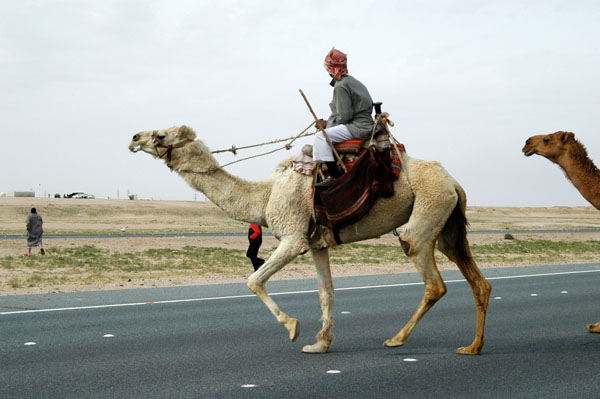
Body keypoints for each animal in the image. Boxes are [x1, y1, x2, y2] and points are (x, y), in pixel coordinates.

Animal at [129, 126, 490, 354]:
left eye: (161, 134)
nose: (133, 137)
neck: (265, 196)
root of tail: (453, 181)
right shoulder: (316, 244)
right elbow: (326, 292)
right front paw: (320, 343)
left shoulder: (293, 237)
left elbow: (253, 280)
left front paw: (292, 327)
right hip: (448, 221)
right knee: (477, 280)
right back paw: (472, 347)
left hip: (429, 206)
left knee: (431, 276)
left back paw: (396, 339)